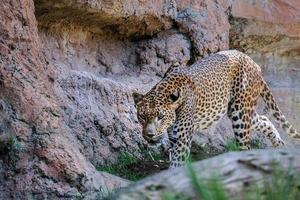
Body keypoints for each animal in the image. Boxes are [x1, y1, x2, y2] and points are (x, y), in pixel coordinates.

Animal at [134, 49, 300, 168]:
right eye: (142, 117)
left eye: (160, 117)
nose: (149, 135)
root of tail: (253, 63)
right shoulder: (174, 137)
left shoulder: (182, 139)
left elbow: (177, 165)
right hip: (240, 112)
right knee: (264, 119)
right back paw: (279, 146)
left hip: (240, 114)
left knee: (245, 145)